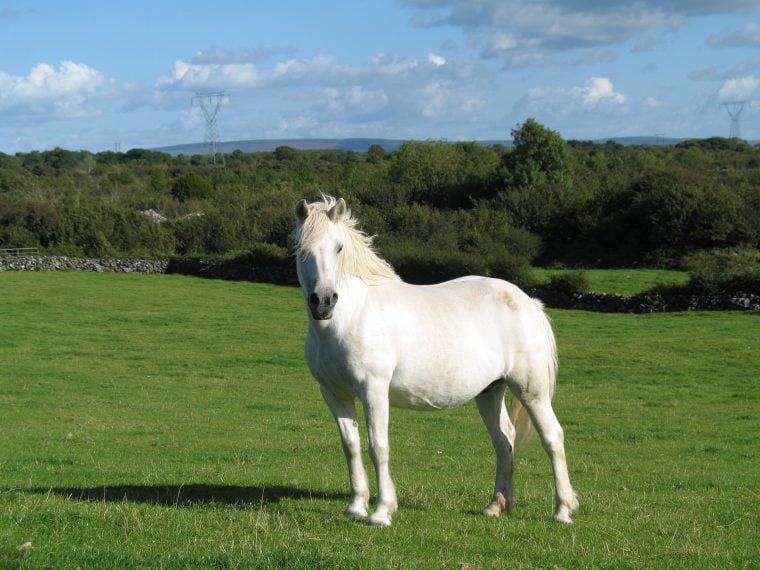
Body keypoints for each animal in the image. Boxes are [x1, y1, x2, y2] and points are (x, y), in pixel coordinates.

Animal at [294, 195, 580, 524]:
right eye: (301, 248)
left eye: (339, 247)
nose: (324, 302)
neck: (351, 316)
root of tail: (529, 302)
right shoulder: (334, 393)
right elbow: (351, 446)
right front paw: (356, 506)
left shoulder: (374, 391)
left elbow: (378, 447)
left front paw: (381, 512)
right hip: (490, 391)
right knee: (503, 440)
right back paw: (496, 506)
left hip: (531, 390)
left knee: (552, 437)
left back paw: (563, 510)